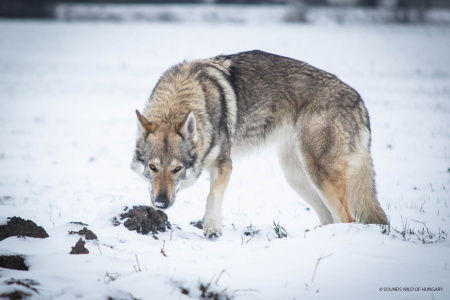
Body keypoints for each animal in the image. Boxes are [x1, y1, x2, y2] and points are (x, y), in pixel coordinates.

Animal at [130, 50, 386, 238]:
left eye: (177, 169)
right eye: (153, 167)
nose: (161, 203)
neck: (181, 98)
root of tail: (359, 101)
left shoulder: (224, 164)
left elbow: (212, 196)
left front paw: (212, 228)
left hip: (319, 176)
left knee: (348, 219)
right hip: (298, 177)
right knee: (330, 218)